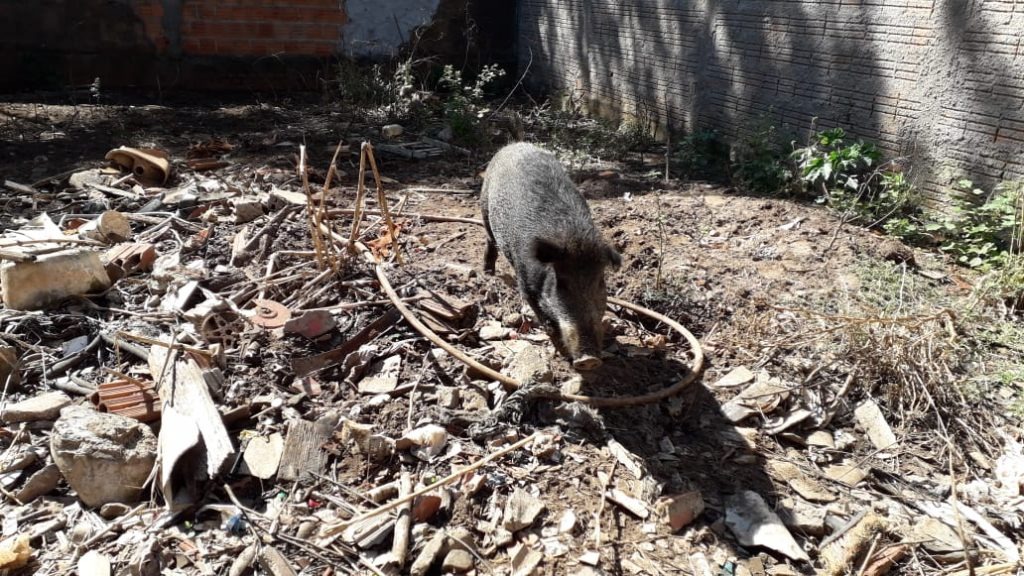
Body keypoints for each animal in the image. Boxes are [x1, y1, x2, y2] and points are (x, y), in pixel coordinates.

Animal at [480, 142, 621, 370]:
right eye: (561, 283)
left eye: (600, 282)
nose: (589, 359)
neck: (574, 238)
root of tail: (514, 145)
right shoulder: (525, 281)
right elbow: (548, 322)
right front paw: (564, 356)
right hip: (484, 206)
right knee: (489, 240)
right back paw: (488, 273)